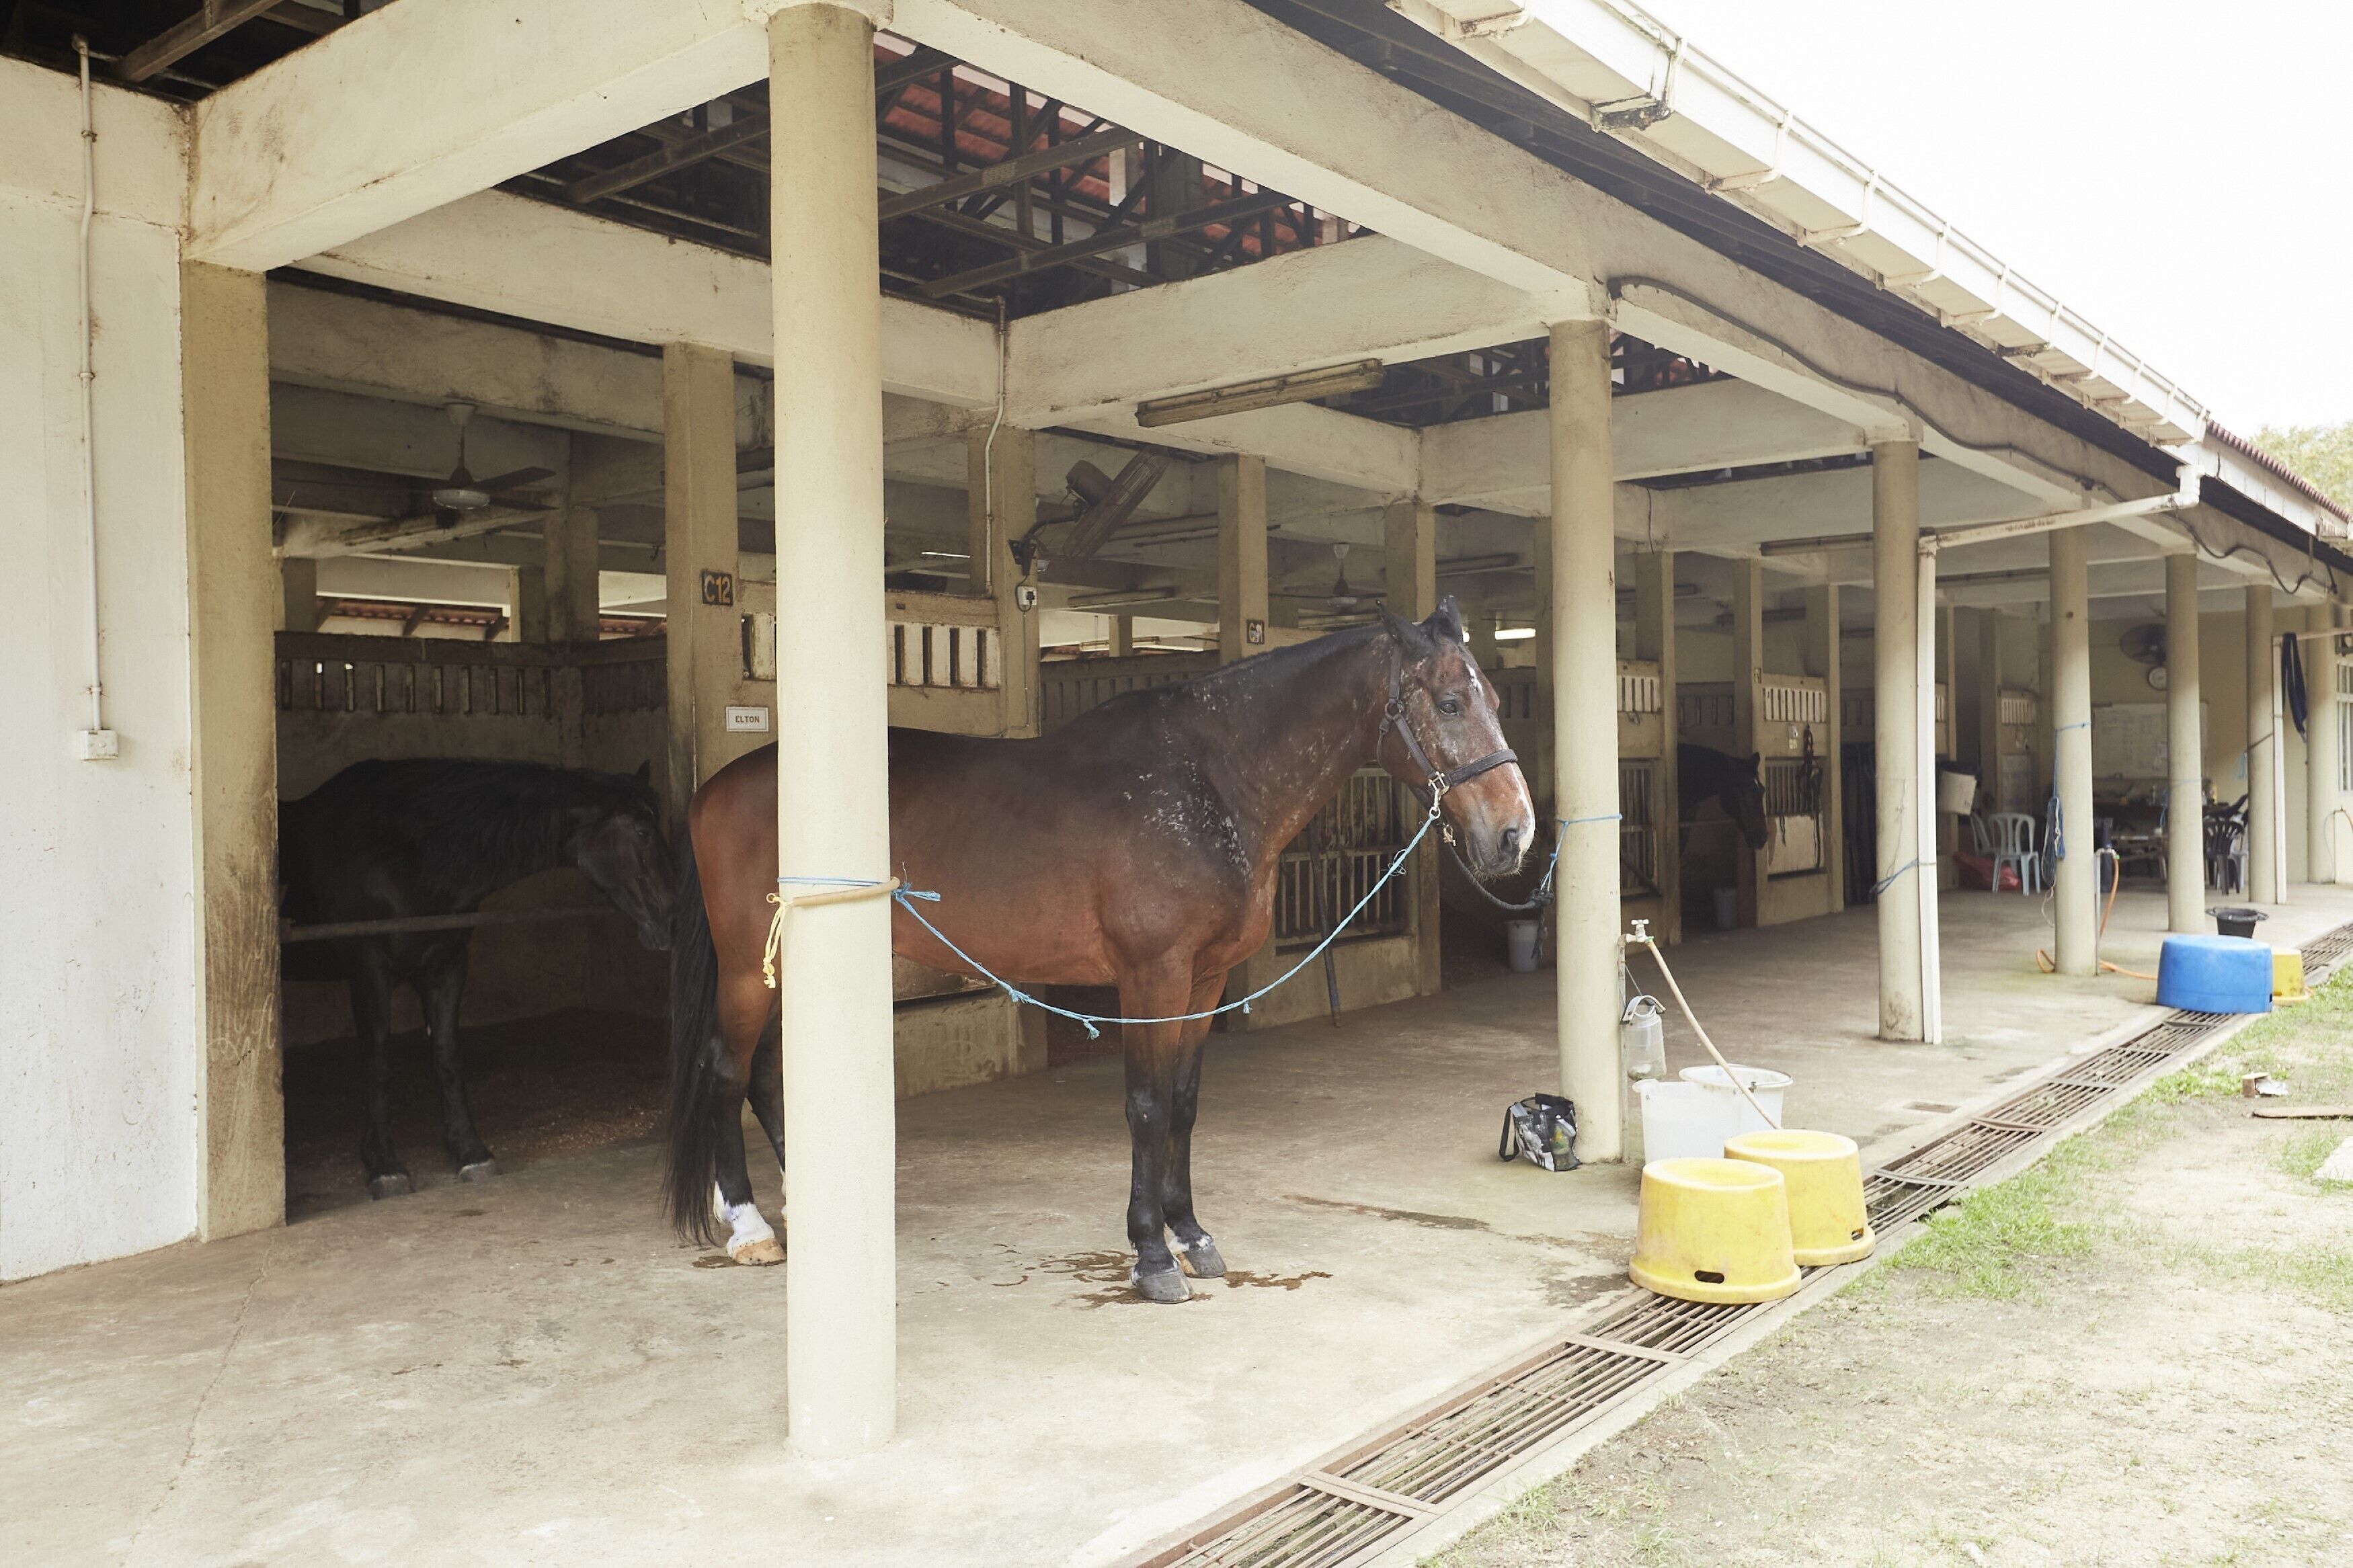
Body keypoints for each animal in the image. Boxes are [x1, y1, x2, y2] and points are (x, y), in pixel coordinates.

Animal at [280, 758, 675, 1198]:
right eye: (642, 832)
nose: (673, 918)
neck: (397, 853)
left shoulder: (447, 964)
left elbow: (448, 1055)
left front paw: (469, 1150)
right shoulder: (369, 970)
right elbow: (379, 1062)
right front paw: (383, 1165)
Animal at [665, 598, 1536, 1300]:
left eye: (1496, 699)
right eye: (1450, 701)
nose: (1515, 833)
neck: (1208, 782)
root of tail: (715, 788)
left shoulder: (1205, 977)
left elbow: (1182, 1103)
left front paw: (1192, 1235)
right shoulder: (1151, 976)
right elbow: (1146, 1106)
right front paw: (1150, 1255)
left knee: (764, 1074)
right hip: (747, 969)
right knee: (726, 1067)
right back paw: (750, 1226)